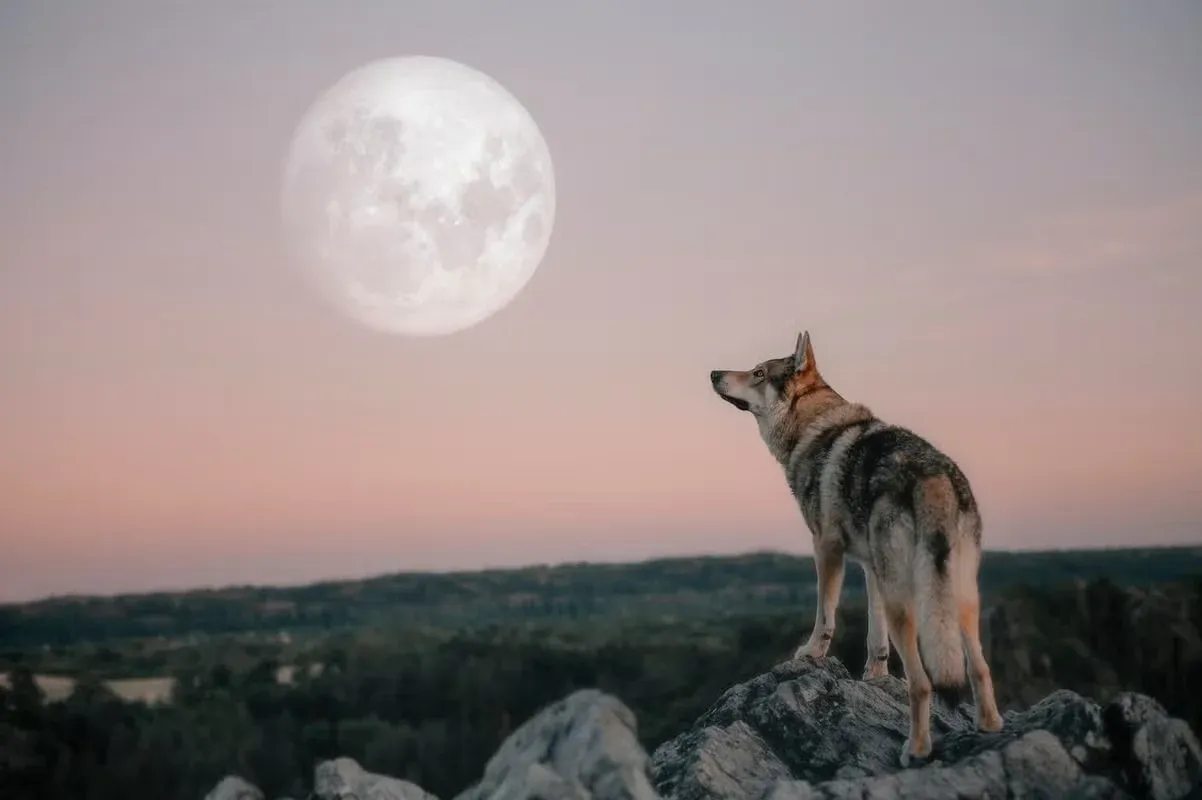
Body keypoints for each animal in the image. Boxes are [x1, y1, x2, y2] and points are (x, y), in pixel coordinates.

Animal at [709, 330, 1004, 766]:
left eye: (758, 372)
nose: (713, 373)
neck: (811, 428)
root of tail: (931, 476)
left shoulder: (825, 548)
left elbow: (825, 614)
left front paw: (811, 653)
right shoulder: (870, 566)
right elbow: (874, 634)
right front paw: (875, 676)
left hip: (908, 604)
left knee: (922, 683)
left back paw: (916, 749)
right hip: (960, 597)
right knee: (979, 668)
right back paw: (990, 725)